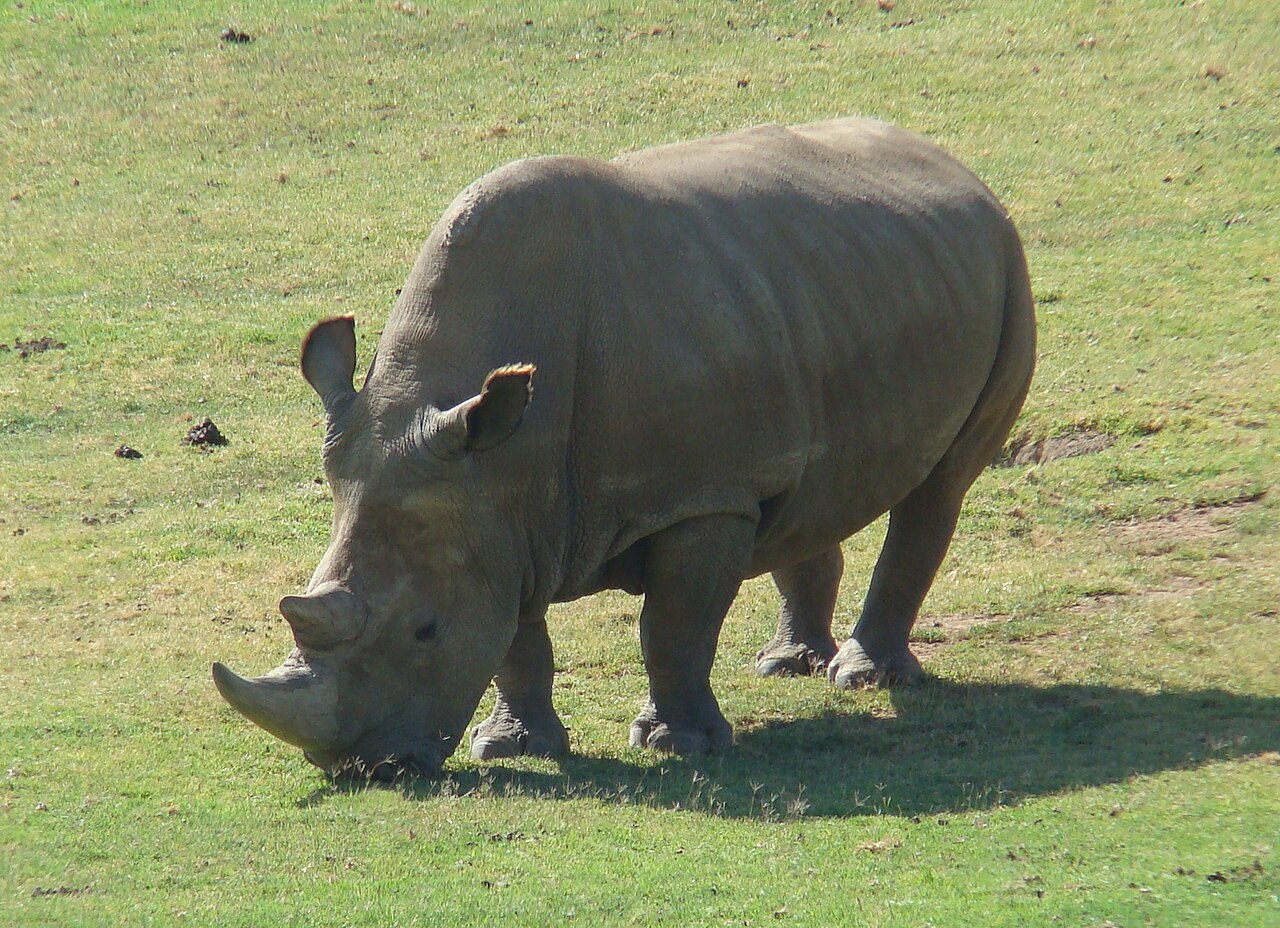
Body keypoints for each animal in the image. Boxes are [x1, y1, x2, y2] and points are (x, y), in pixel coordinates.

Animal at [213, 118, 1035, 778]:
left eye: (426, 630)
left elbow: (672, 626)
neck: (504, 458)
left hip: (1007, 267)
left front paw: (678, 747)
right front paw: (513, 748)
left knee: (938, 490)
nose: (363, 767)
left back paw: (866, 680)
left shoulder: (699, 499)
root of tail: (957, 167)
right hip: (834, 286)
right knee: (804, 492)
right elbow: (515, 638)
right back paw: (786, 666)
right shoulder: (495, 510)